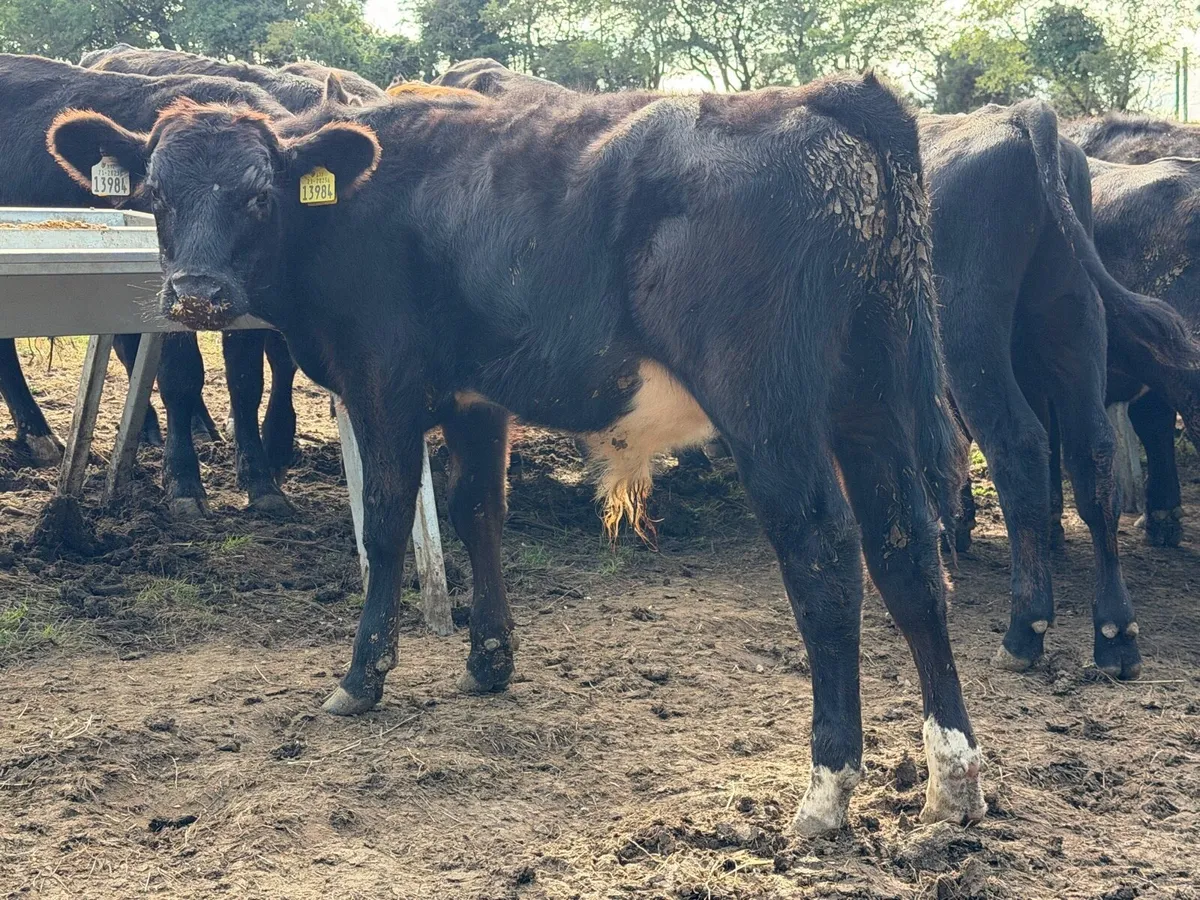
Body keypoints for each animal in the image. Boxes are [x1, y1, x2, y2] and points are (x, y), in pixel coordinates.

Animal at [0, 52, 295, 516]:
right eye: (155, 193)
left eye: (260, 195)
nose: (199, 284)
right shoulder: (169, 298)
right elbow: (180, 377)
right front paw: (184, 481)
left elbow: (246, 382)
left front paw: (261, 482)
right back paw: (38, 434)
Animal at [49, 73, 987, 836]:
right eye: (157, 194)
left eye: (254, 196)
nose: (196, 295)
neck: (350, 207)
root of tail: (827, 97)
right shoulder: (477, 396)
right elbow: (479, 511)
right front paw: (489, 658)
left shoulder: (383, 384)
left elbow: (386, 525)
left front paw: (363, 674)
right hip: (872, 398)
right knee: (909, 553)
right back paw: (954, 778)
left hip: (772, 409)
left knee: (825, 557)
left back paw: (828, 786)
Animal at [919, 103, 1199, 680]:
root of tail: (1019, 115)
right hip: (1075, 314)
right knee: (1092, 452)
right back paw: (1116, 634)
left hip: (968, 335)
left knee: (1018, 444)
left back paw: (1025, 629)